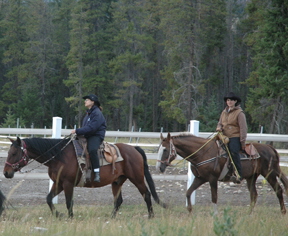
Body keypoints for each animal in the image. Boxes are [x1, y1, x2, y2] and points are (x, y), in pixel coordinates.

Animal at [2, 136, 166, 218]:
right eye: (9, 152)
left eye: (14, 153)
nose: (6, 172)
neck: (60, 156)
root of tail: (135, 149)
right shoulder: (58, 183)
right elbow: (48, 199)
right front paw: (59, 215)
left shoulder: (68, 184)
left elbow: (69, 202)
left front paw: (70, 218)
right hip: (117, 182)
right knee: (118, 200)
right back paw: (111, 218)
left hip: (137, 178)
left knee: (146, 194)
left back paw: (151, 216)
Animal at [156, 134, 288, 215]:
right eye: (158, 149)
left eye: (165, 150)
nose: (159, 167)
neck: (202, 153)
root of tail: (270, 147)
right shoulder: (200, 178)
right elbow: (188, 192)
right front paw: (190, 210)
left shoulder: (212, 179)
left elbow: (214, 197)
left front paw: (215, 214)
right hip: (252, 177)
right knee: (254, 195)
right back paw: (248, 214)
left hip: (269, 174)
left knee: (279, 190)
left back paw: (283, 212)